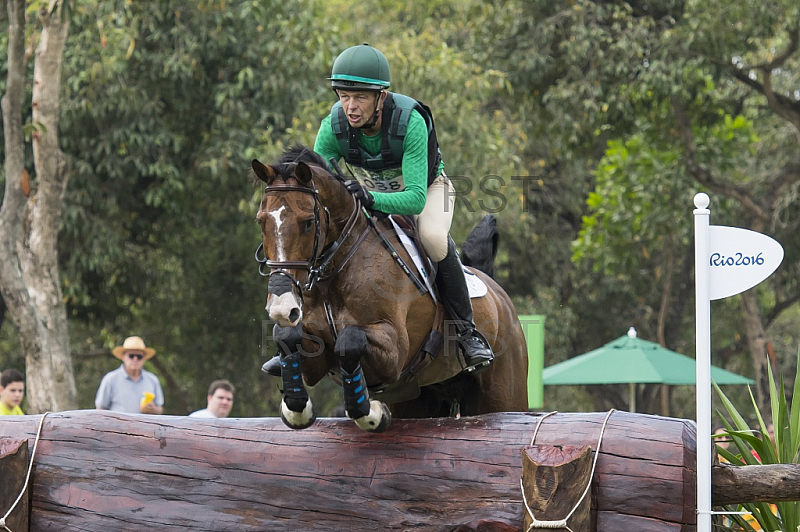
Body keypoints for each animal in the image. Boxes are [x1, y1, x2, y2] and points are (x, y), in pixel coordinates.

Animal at [250, 145, 524, 432]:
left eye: (307, 223)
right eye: (261, 222)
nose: (281, 307)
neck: (334, 273)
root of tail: (497, 292)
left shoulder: (395, 351)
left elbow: (349, 340)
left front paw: (369, 412)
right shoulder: (317, 358)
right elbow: (287, 336)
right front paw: (296, 408)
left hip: (503, 395)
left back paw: (475, 347)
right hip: (417, 400)